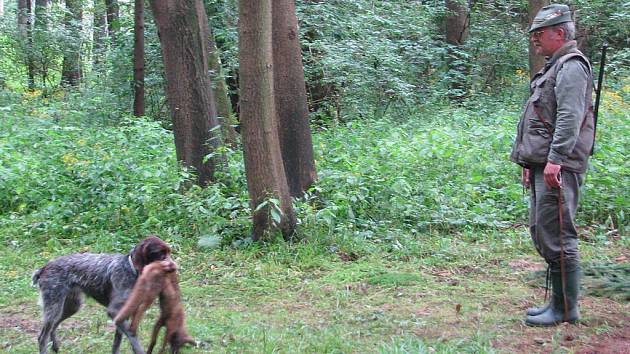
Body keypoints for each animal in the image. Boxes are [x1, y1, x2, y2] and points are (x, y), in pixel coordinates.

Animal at [32, 235, 173, 354]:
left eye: (169, 252)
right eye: (161, 254)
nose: (173, 266)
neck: (131, 269)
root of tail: (44, 268)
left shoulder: (124, 315)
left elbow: (117, 343)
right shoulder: (114, 311)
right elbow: (133, 336)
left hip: (71, 306)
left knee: (53, 327)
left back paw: (55, 346)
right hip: (54, 306)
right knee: (42, 337)